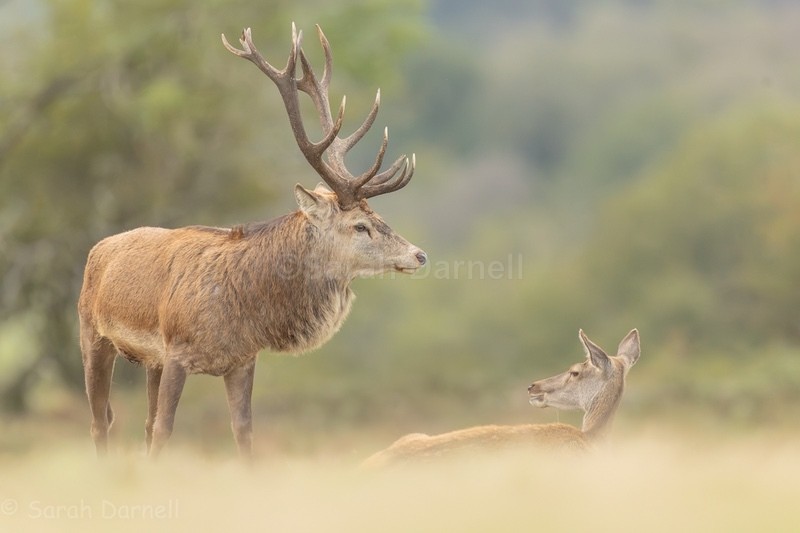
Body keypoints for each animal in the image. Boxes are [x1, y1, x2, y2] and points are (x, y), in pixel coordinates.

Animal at [78, 23, 427, 459]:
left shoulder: (242, 360)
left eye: (379, 217)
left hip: (149, 361)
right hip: (92, 335)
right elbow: (165, 430)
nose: (419, 254)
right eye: (360, 226)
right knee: (100, 421)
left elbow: (242, 431)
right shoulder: (178, 351)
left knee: (139, 422)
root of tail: (99, 248)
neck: (244, 310)